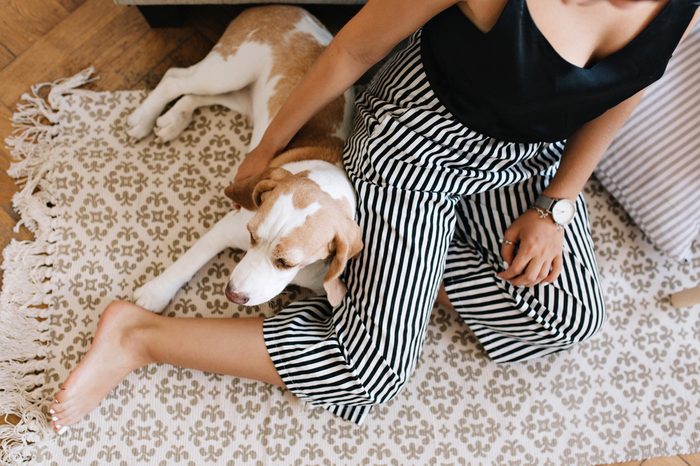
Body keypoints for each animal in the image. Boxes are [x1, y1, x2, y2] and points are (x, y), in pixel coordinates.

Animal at [126, 5, 364, 312]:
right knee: (174, 77)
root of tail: (286, 7)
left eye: (286, 263)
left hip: (240, 96)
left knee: (192, 95)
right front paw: (154, 294)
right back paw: (144, 117)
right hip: (226, 72)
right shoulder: (226, 229)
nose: (232, 294)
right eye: (251, 235)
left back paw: (174, 120)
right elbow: (187, 263)